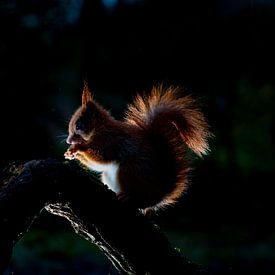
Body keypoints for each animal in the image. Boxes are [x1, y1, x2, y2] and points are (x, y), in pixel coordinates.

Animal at [64, 83, 211, 212]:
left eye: (79, 125)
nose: (68, 141)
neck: (99, 129)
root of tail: (158, 196)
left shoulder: (112, 142)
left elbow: (102, 157)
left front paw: (79, 148)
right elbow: (96, 165)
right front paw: (70, 153)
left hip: (129, 171)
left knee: (140, 200)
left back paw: (128, 197)